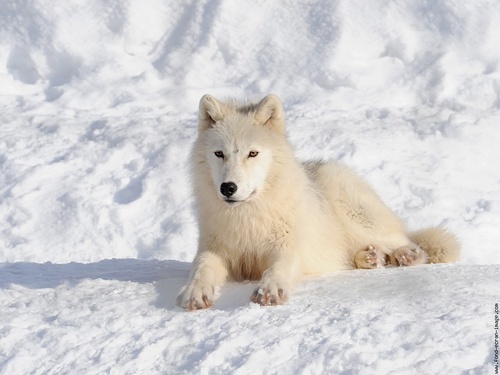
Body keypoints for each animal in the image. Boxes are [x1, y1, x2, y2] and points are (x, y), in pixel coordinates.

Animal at [177, 94, 460, 312]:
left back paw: (406, 255)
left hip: (357, 216)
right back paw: (370, 258)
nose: (228, 188)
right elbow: (201, 267)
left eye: (252, 153)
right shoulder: (213, 249)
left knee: (405, 240)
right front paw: (194, 292)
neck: (248, 218)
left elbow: (278, 268)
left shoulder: (288, 245)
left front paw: (270, 290)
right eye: (219, 153)